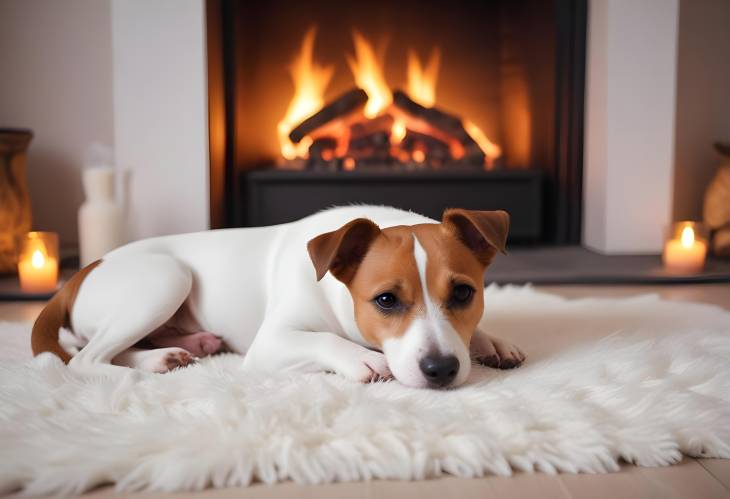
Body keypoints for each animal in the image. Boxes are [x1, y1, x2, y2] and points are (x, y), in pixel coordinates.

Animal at [32, 205, 524, 388]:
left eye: (463, 292)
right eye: (386, 301)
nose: (441, 369)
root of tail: (82, 273)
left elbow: (475, 331)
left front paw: (492, 341)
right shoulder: (271, 343)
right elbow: (324, 339)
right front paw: (362, 360)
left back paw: (177, 350)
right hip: (166, 278)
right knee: (86, 359)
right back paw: (142, 373)